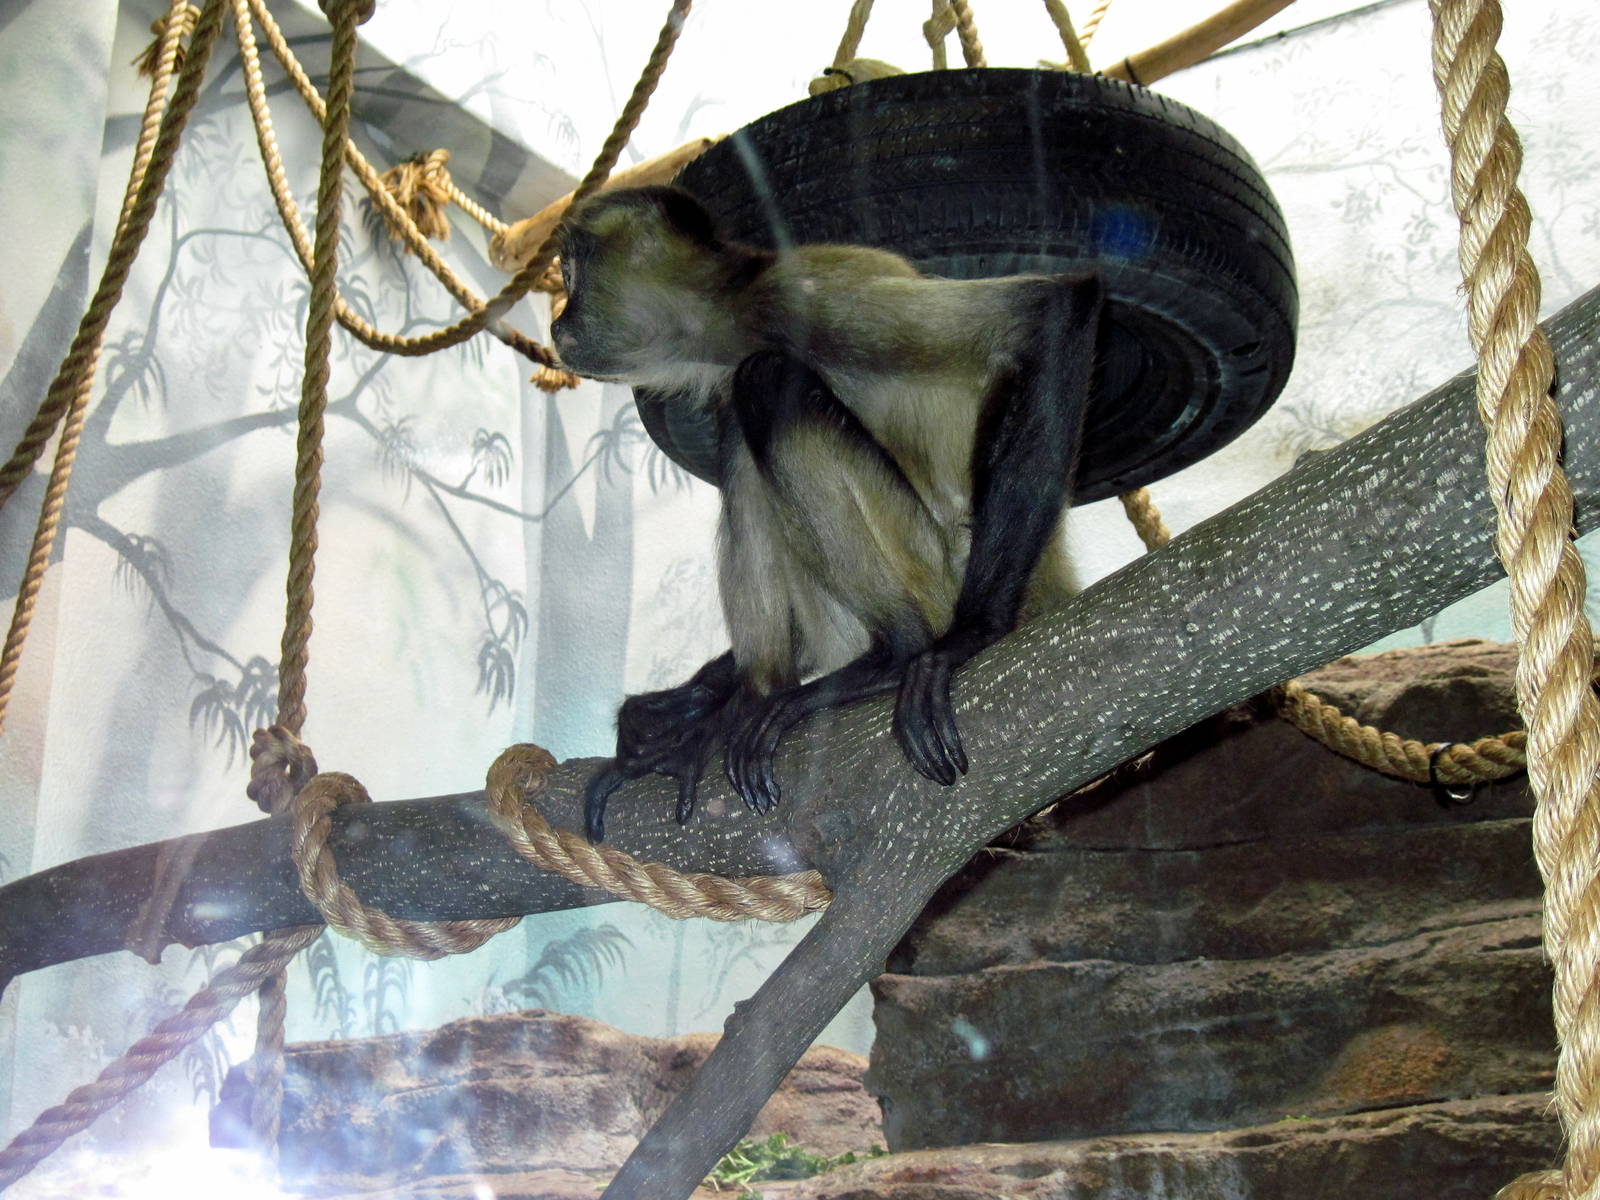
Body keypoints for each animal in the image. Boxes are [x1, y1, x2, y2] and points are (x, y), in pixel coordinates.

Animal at [550, 186, 1104, 842]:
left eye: (570, 272)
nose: (556, 321)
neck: (733, 305)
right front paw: (686, 708)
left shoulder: (795, 292)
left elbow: (1052, 310)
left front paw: (969, 638)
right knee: (740, 427)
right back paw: (743, 706)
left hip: (928, 563)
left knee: (765, 383)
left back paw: (895, 655)